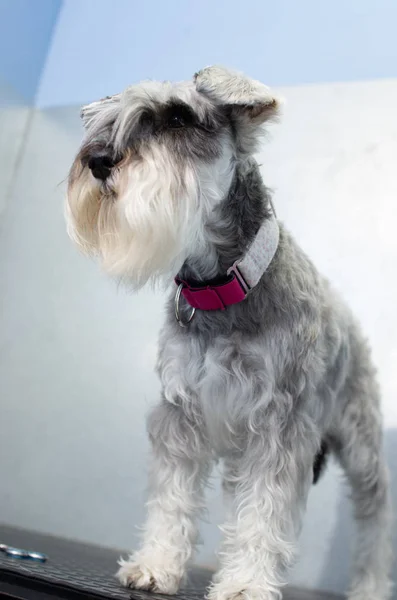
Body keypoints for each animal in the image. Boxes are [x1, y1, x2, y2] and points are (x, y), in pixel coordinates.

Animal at [66, 65, 392, 600]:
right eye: (108, 121)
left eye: (179, 117)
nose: (97, 161)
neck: (222, 287)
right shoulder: (181, 414)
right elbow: (173, 498)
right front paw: (156, 564)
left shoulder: (278, 425)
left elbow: (265, 511)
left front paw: (245, 585)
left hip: (361, 444)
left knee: (374, 513)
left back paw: (371, 586)